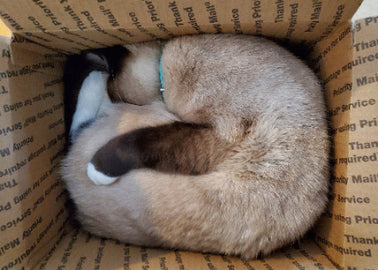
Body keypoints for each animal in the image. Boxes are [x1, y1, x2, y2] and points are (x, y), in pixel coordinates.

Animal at [60, 34, 330, 260]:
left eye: (121, 96)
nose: (118, 103)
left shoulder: (221, 133)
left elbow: (144, 141)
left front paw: (99, 169)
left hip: (143, 118)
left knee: (81, 125)